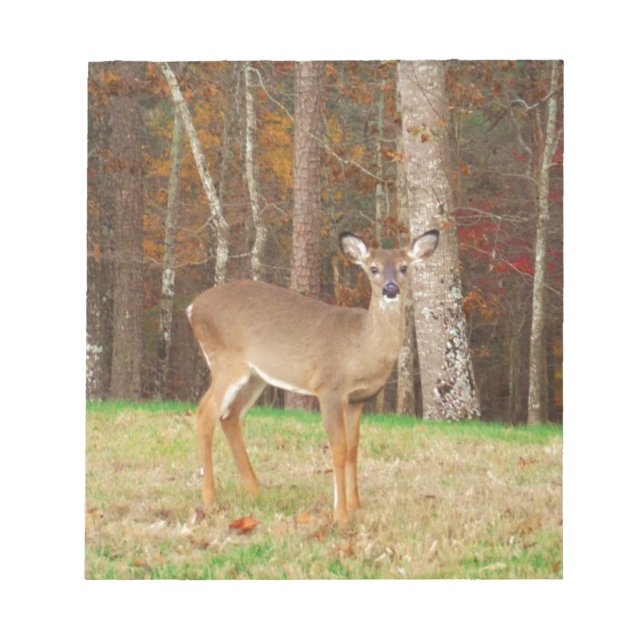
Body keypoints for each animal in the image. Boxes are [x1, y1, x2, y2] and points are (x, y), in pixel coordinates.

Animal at [186, 229, 439, 525]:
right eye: (373, 268)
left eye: (403, 267)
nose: (390, 289)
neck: (361, 347)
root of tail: (192, 307)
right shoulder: (329, 388)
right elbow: (338, 448)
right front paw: (340, 514)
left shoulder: (357, 399)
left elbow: (353, 449)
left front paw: (356, 506)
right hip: (226, 362)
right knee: (205, 413)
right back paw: (210, 498)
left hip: (255, 376)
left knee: (230, 416)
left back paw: (256, 490)